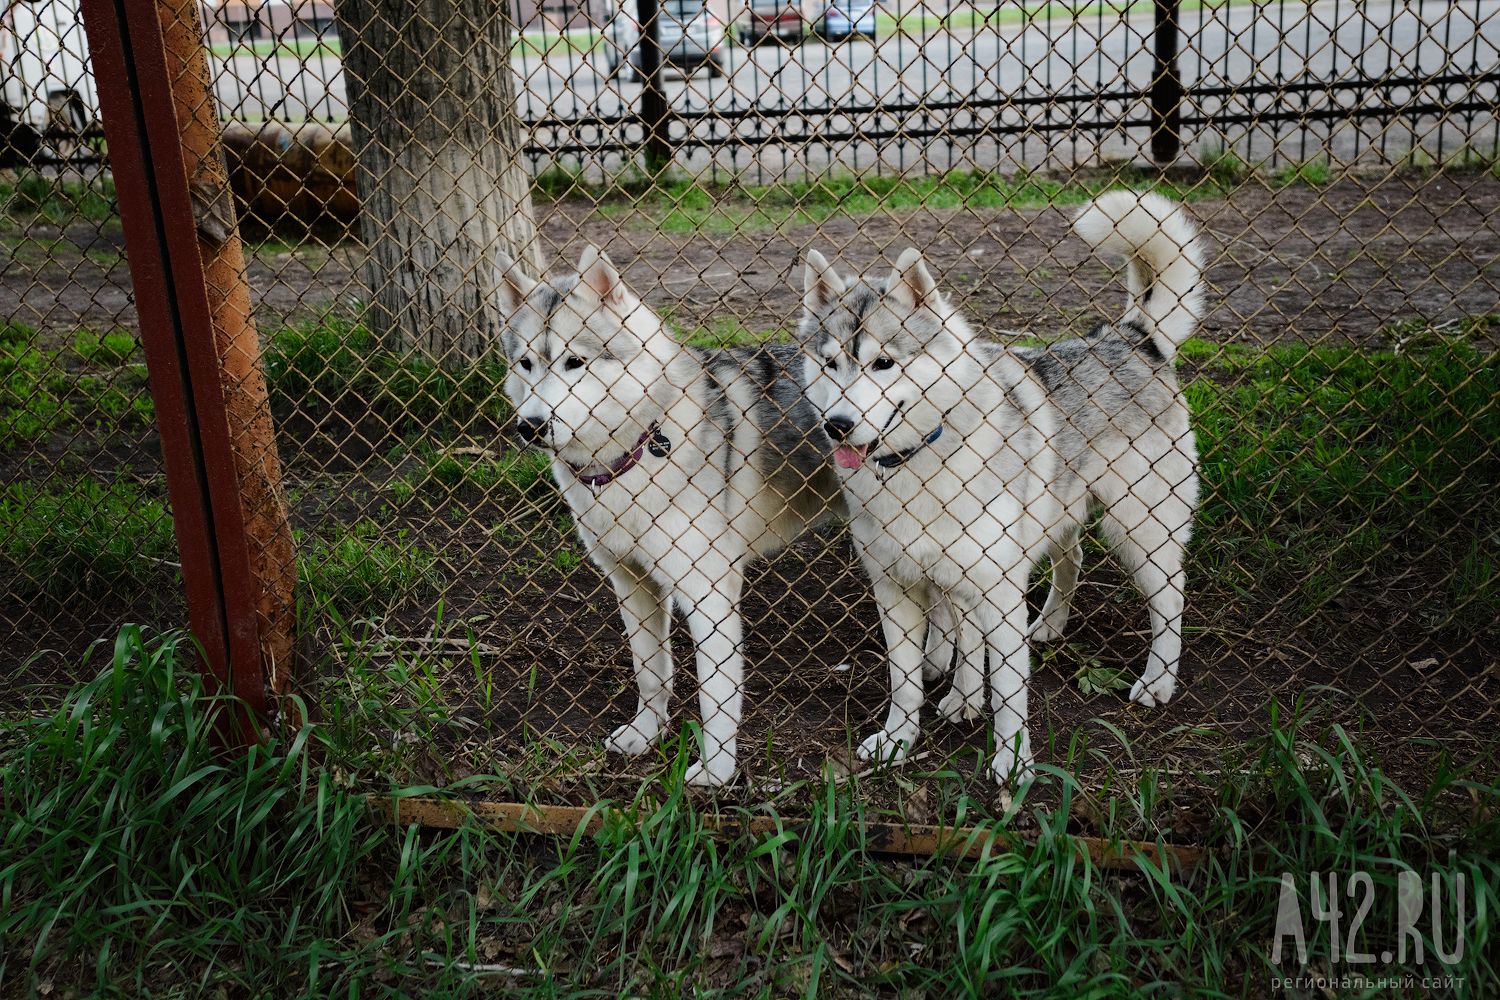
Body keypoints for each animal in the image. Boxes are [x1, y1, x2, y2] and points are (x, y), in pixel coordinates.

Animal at [498, 248, 972, 791]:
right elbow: (651, 673)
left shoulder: (708, 595)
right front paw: (645, 734)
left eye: (574, 362)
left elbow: (716, 696)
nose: (531, 426)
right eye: (527, 363)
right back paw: (933, 665)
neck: (635, 451)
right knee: (943, 607)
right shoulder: (632, 582)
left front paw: (716, 772)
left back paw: (962, 699)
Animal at [798, 191, 1206, 785]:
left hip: (1139, 530)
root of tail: (1132, 338)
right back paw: (1044, 630)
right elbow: (907, 682)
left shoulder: (994, 586)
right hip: (1057, 517)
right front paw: (900, 739)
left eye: (883, 362)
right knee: (1071, 560)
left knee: (1170, 598)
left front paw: (1013, 763)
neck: (918, 462)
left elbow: (1011, 692)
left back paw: (1157, 681)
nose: (838, 425)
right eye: (831, 363)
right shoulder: (899, 586)